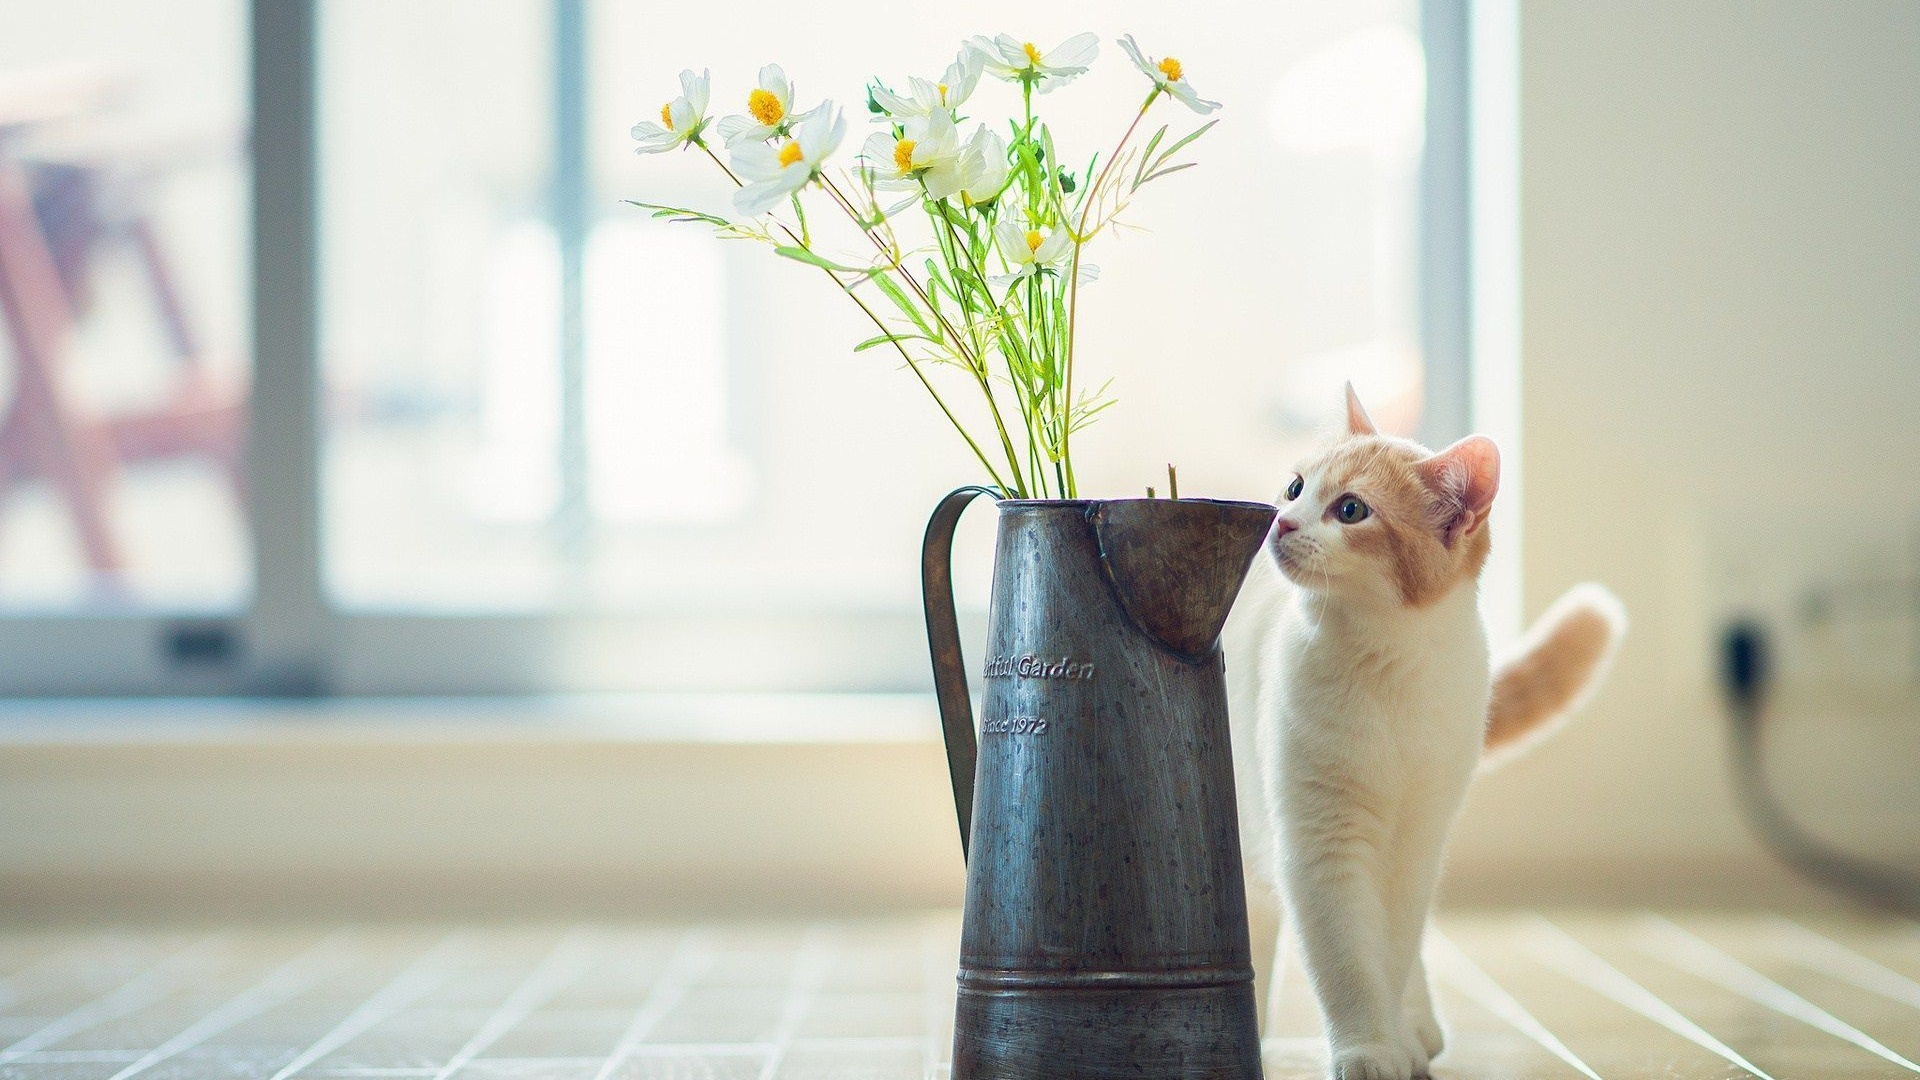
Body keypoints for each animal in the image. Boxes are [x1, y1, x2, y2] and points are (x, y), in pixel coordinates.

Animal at [1228, 384, 1620, 1076]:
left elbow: (1390, 949)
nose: (1282, 521)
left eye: (1351, 509)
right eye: (1295, 487)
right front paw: (1368, 1046)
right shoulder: (1320, 844)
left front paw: (1392, 1038)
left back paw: (1417, 1026)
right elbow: (1349, 959)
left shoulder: (1416, 841)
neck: (1386, 669)